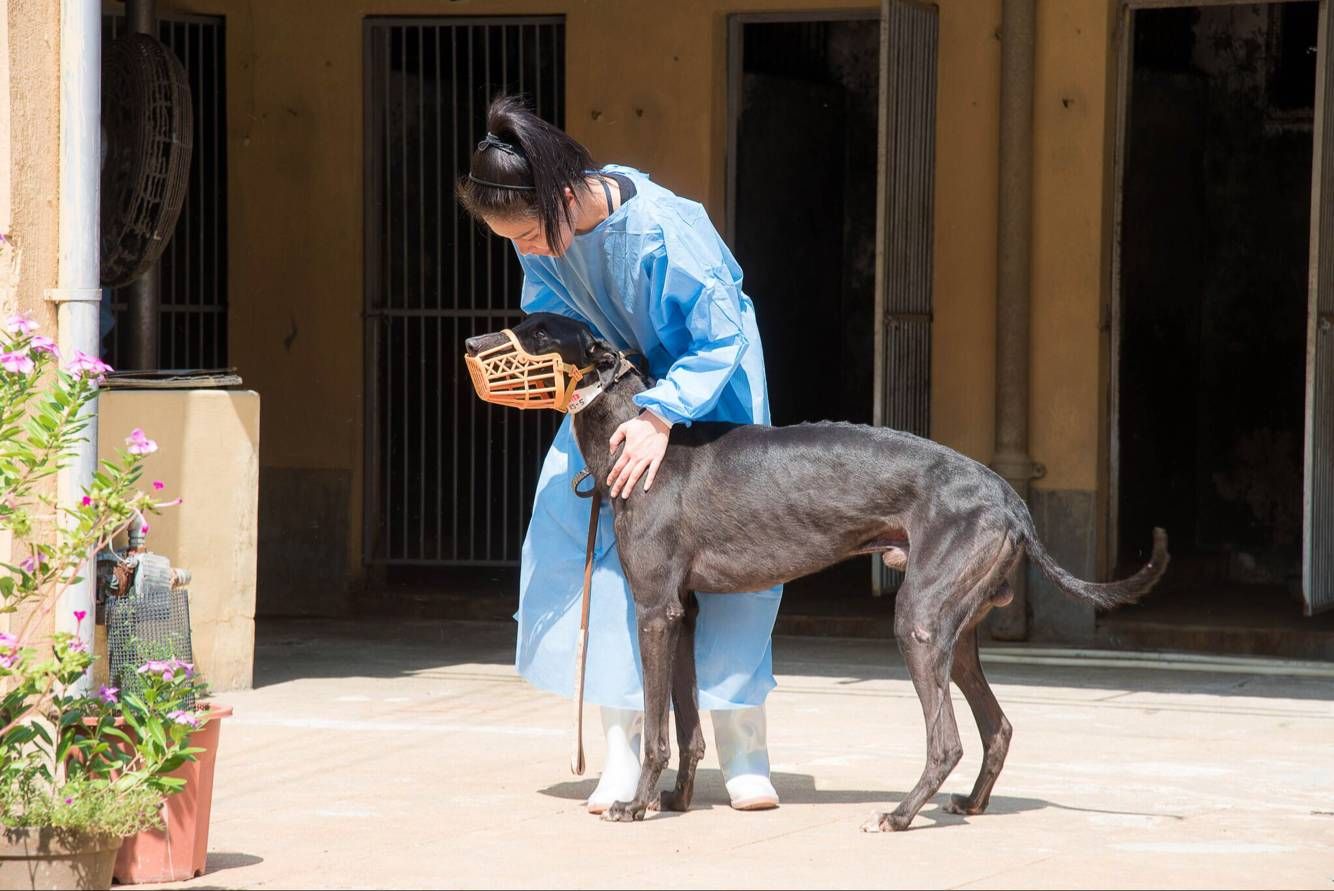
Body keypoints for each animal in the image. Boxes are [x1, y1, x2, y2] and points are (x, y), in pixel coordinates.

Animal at [466, 312, 1168, 826]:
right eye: (521, 322)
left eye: (540, 334)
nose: (471, 342)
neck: (635, 436)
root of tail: (1008, 497)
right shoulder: (682, 613)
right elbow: (689, 725)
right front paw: (678, 801)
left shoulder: (655, 610)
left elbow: (660, 728)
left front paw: (636, 806)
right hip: (958, 632)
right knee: (997, 726)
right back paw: (969, 804)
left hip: (920, 623)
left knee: (947, 738)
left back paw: (900, 815)